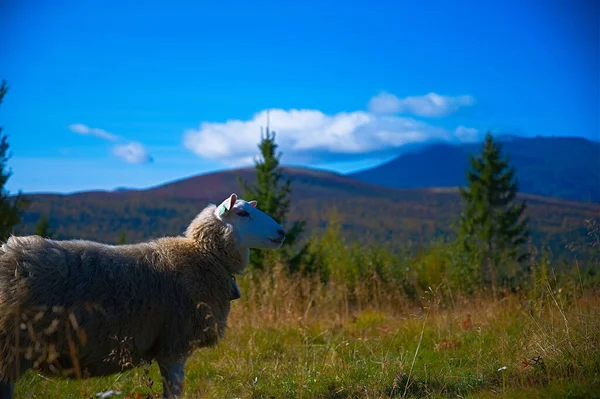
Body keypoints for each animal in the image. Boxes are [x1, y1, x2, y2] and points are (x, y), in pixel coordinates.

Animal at [0, 193, 284, 396]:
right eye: (242, 212)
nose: (282, 232)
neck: (204, 257)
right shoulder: (174, 344)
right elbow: (174, 392)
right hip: (11, 345)